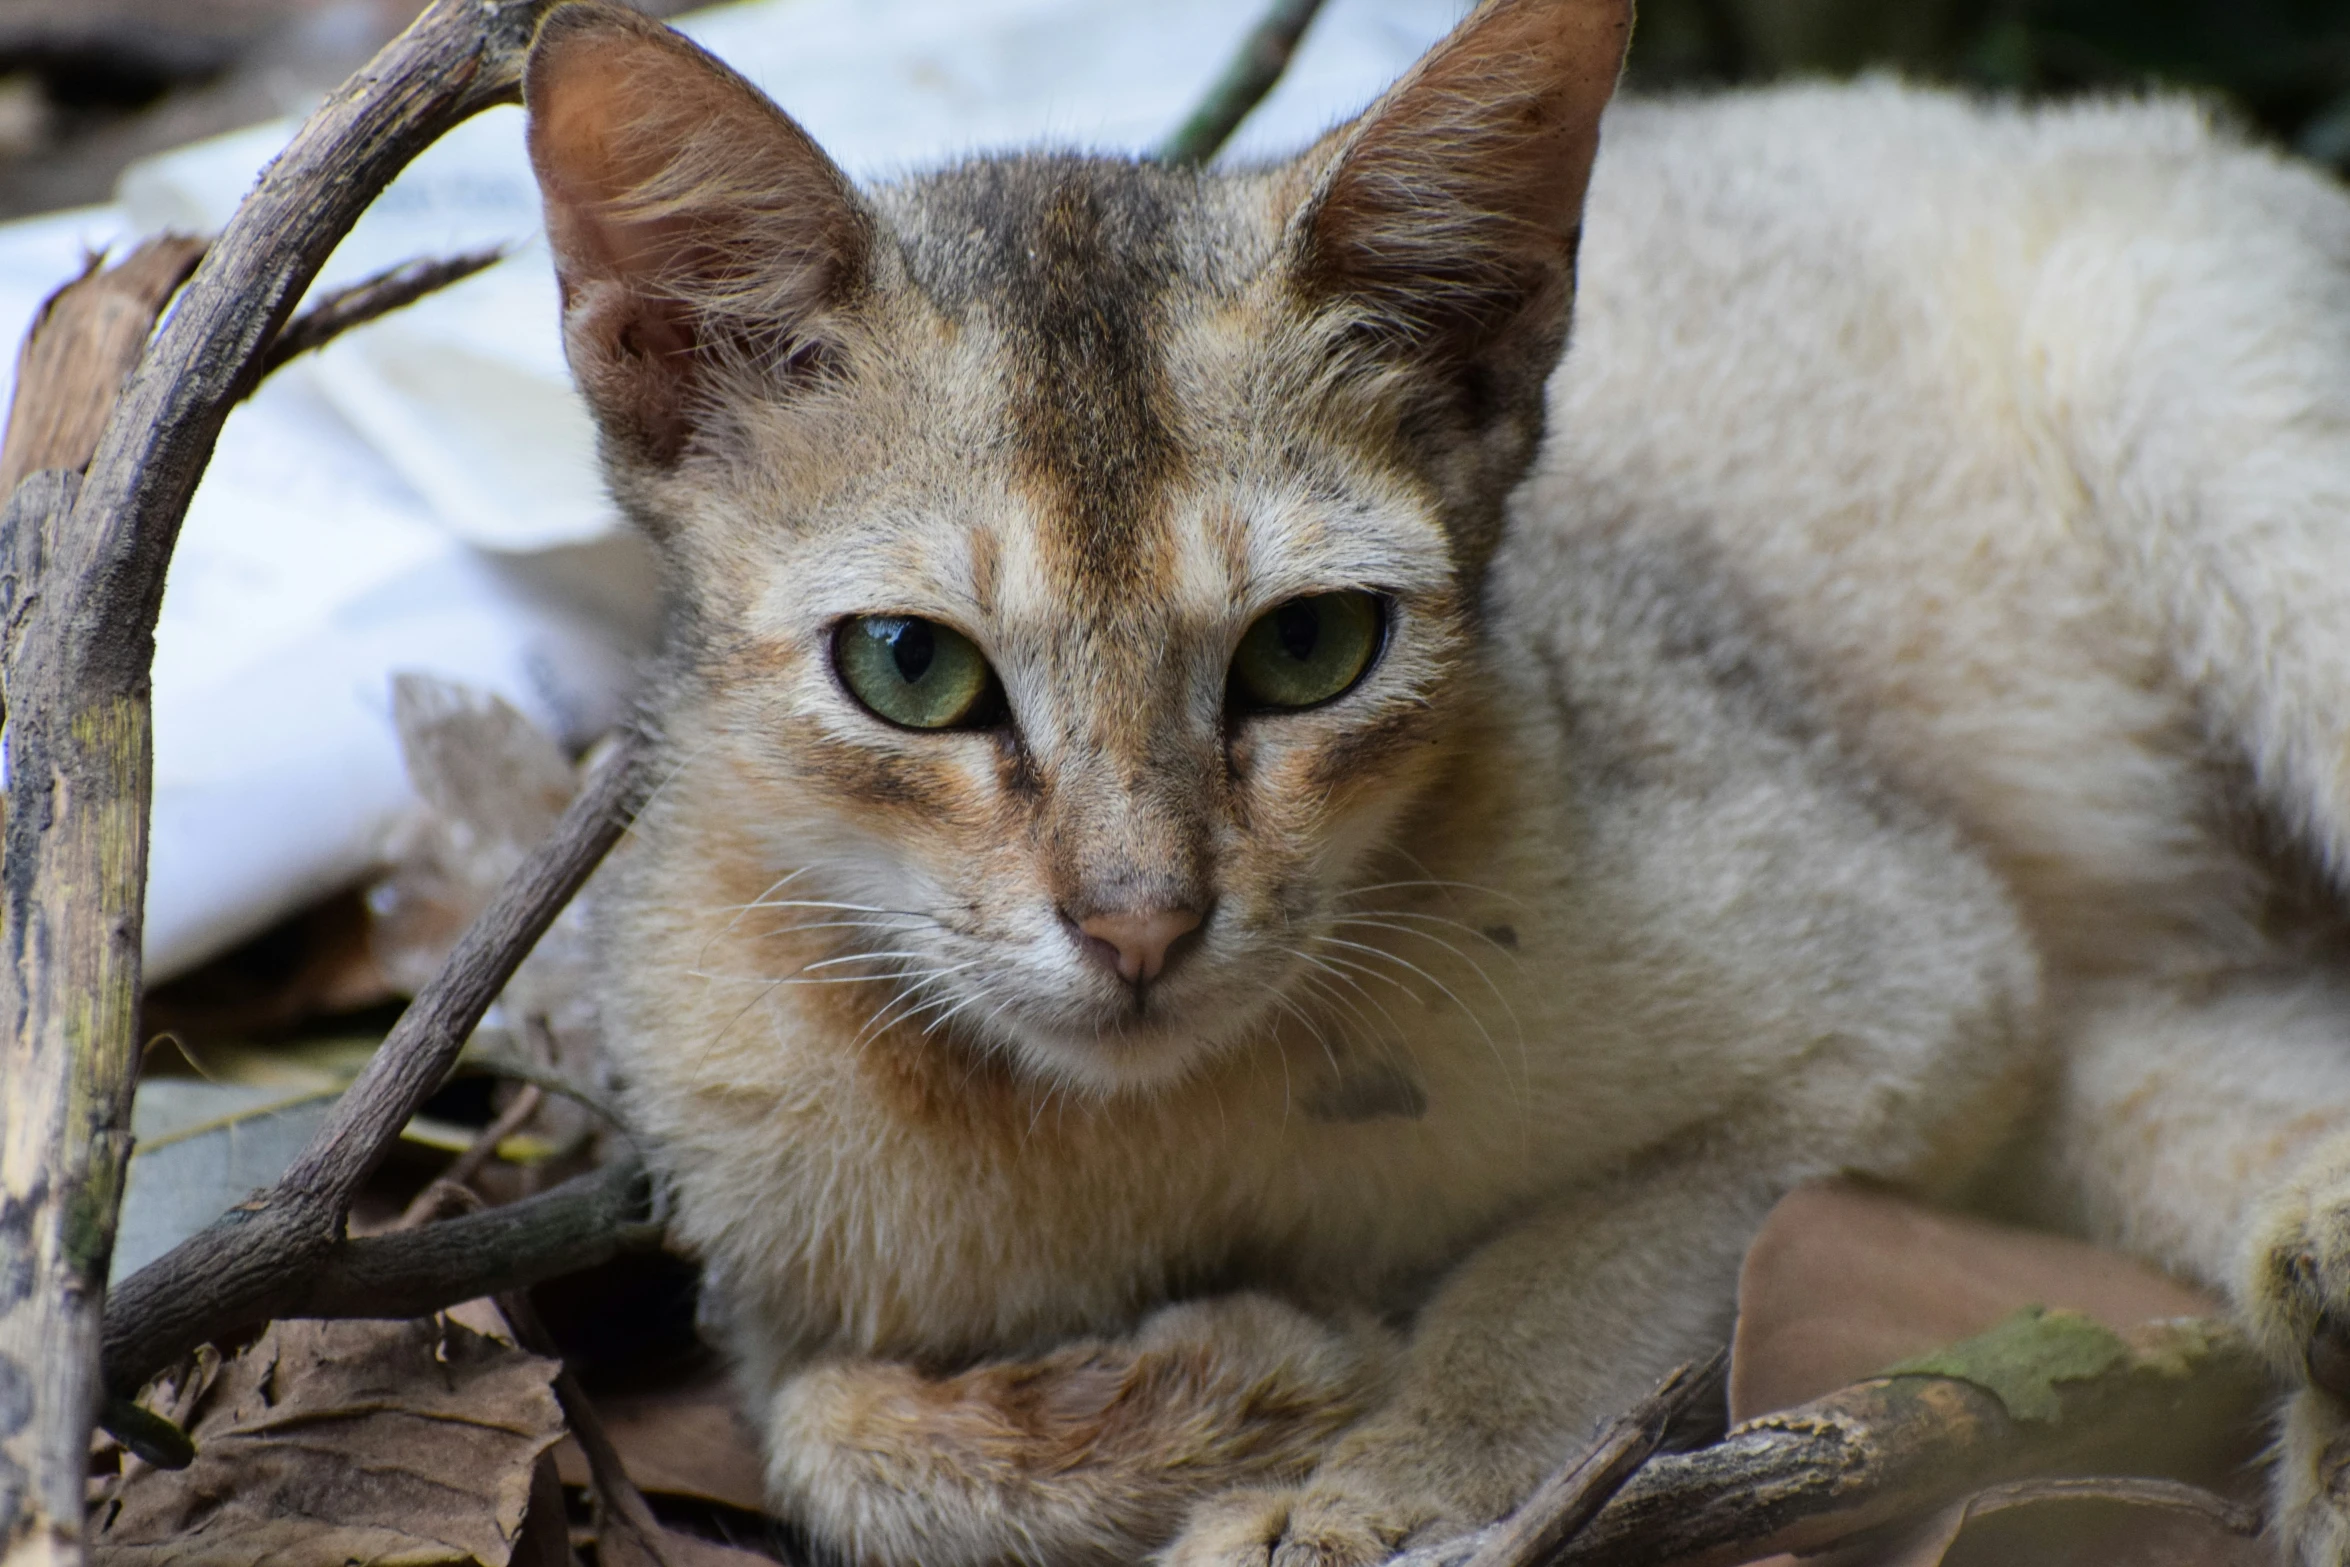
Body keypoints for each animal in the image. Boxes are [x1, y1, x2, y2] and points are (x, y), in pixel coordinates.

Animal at [528, 0, 2350, 1559]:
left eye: (1309, 647)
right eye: (911, 667)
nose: (1138, 925)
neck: (1145, 1139)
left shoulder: (1920, 990)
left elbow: (1570, 1268)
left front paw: (1371, 1472)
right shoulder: (758, 1282)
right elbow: (833, 1443)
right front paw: (1236, 1399)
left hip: (2219, 447)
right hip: (2131, 1057)